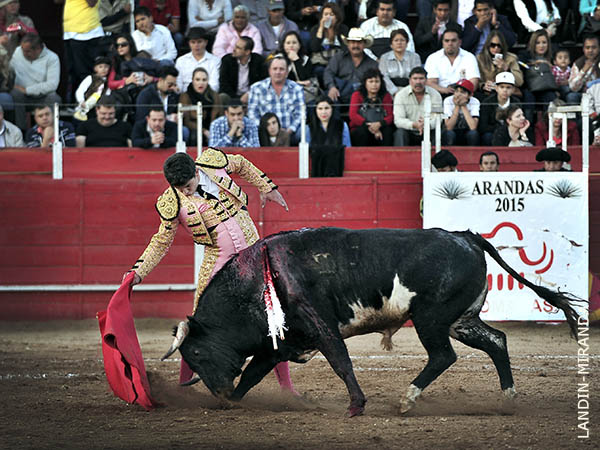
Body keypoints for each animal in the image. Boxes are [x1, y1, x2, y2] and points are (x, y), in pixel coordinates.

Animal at [161, 227, 583, 417]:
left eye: (195, 353)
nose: (217, 392)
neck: (256, 282)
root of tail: (466, 237)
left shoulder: (321, 326)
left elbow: (340, 362)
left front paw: (356, 405)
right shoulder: (278, 344)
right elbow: (251, 374)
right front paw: (233, 399)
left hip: (431, 319)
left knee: (443, 356)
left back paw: (408, 399)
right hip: (460, 320)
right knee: (496, 341)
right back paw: (507, 399)